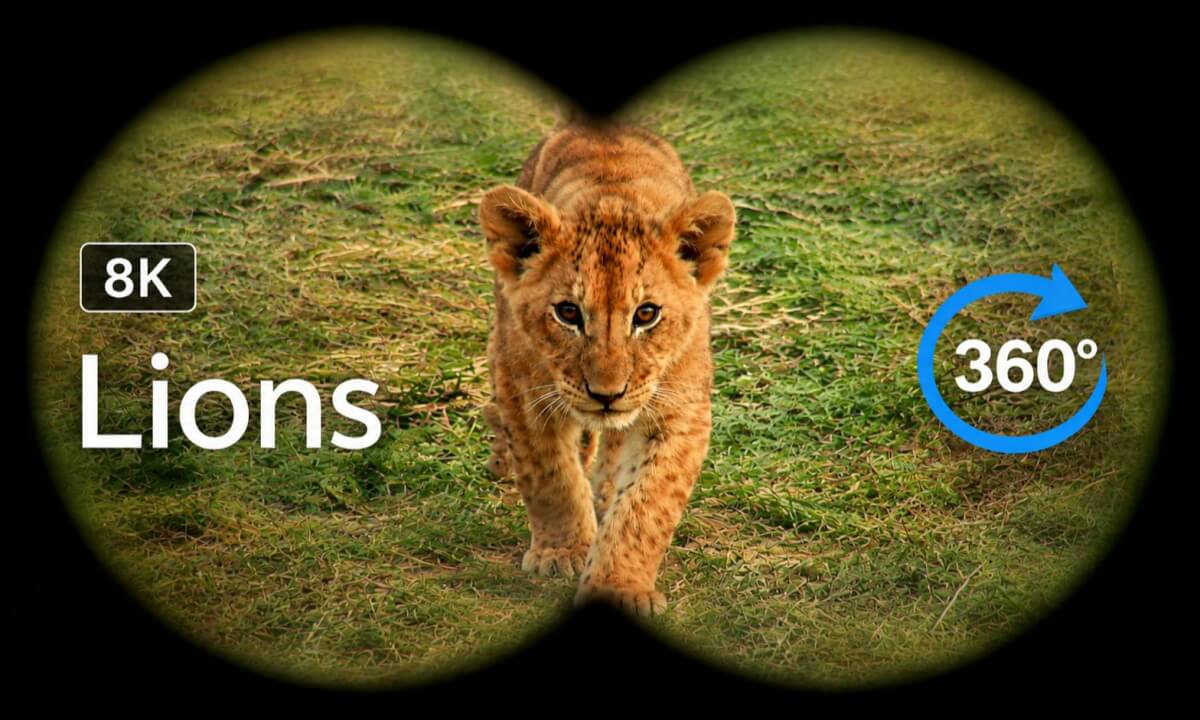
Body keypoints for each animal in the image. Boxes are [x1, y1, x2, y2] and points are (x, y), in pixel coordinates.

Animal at [478, 119, 735, 616]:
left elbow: (648, 505)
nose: (606, 394)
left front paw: (619, 585)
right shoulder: (524, 390)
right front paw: (563, 552)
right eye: (568, 313)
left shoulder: (682, 411)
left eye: (647, 314)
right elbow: (550, 477)